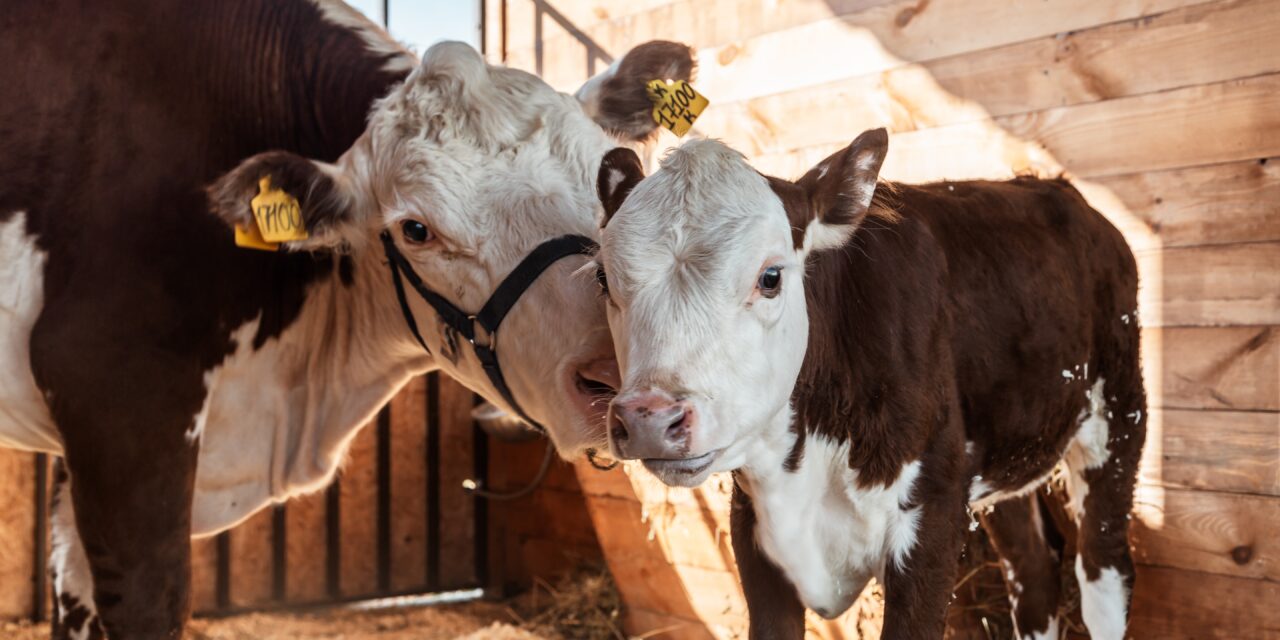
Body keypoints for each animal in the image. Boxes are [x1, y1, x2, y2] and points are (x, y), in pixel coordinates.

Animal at [593, 131, 1146, 640]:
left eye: (770, 277)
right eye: (602, 279)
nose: (649, 419)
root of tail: (1058, 189)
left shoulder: (932, 522)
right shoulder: (753, 531)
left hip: (1119, 413)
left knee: (1103, 571)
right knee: (1032, 570)